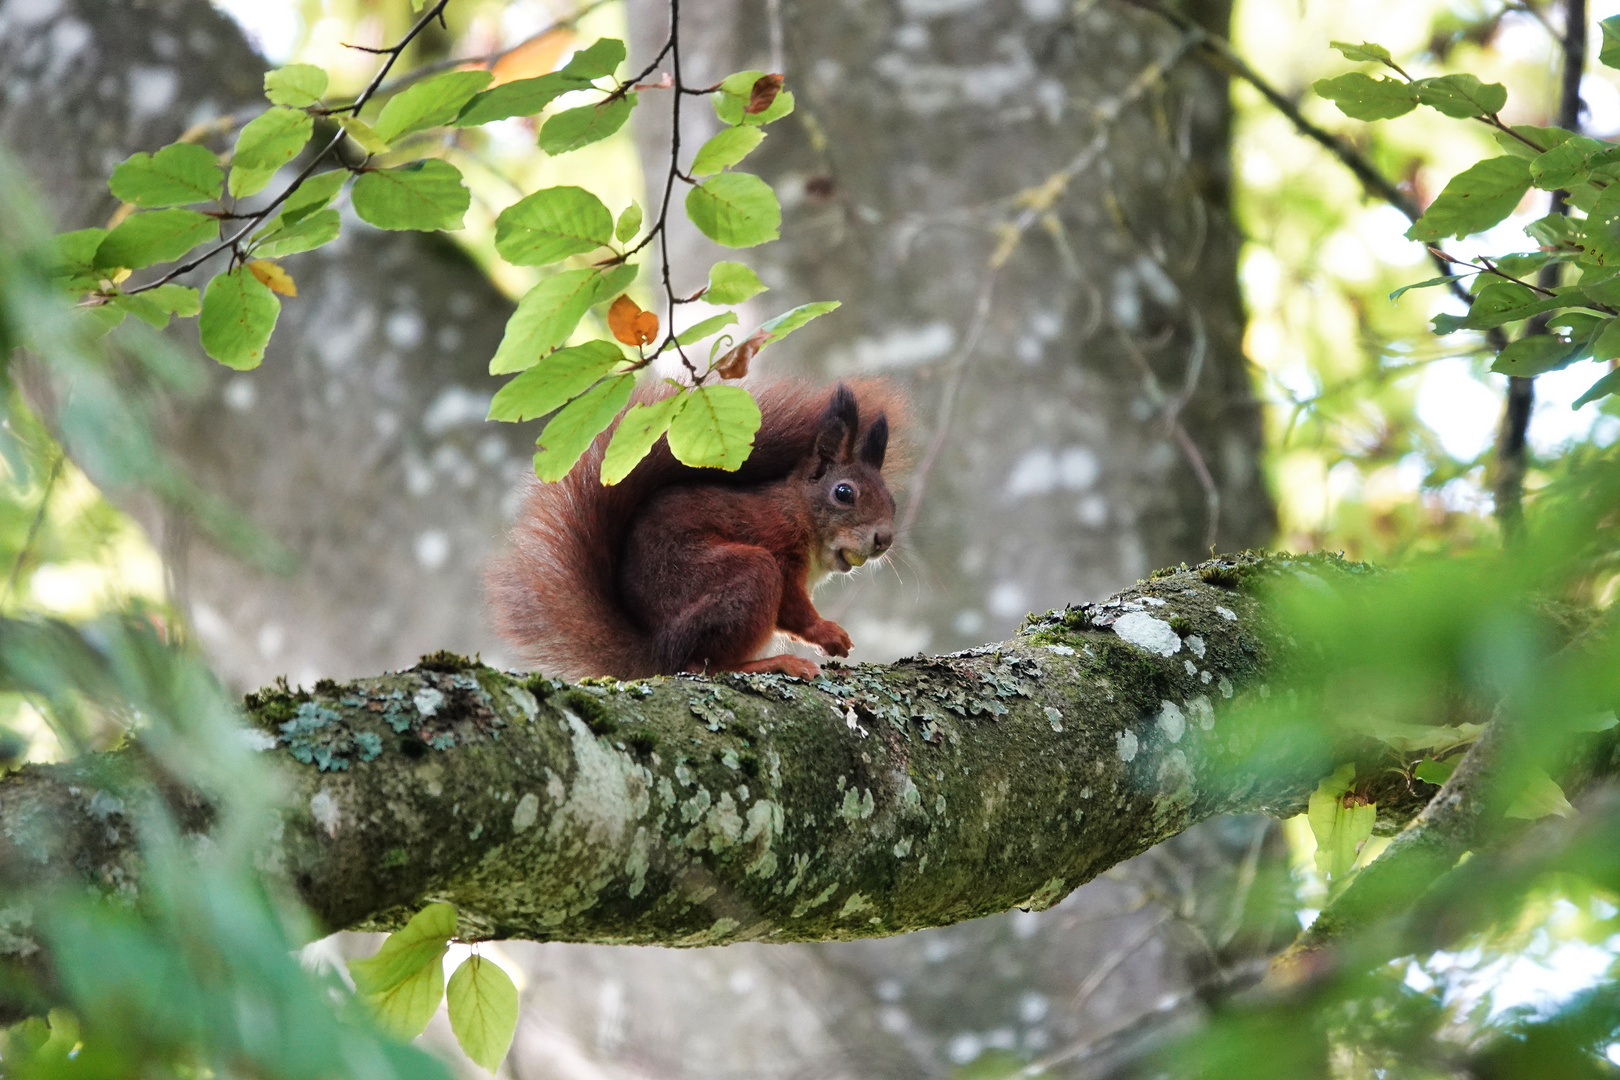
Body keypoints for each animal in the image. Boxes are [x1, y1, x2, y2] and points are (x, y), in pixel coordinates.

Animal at [486, 380, 907, 680]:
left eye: (892, 500)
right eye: (843, 493)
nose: (883, 540)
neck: (797, 512)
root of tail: (658, 650)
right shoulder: (776, 544)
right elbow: (793, 608)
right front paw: (827, 632)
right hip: (745, 576)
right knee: (700, 665)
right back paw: (774, 664)